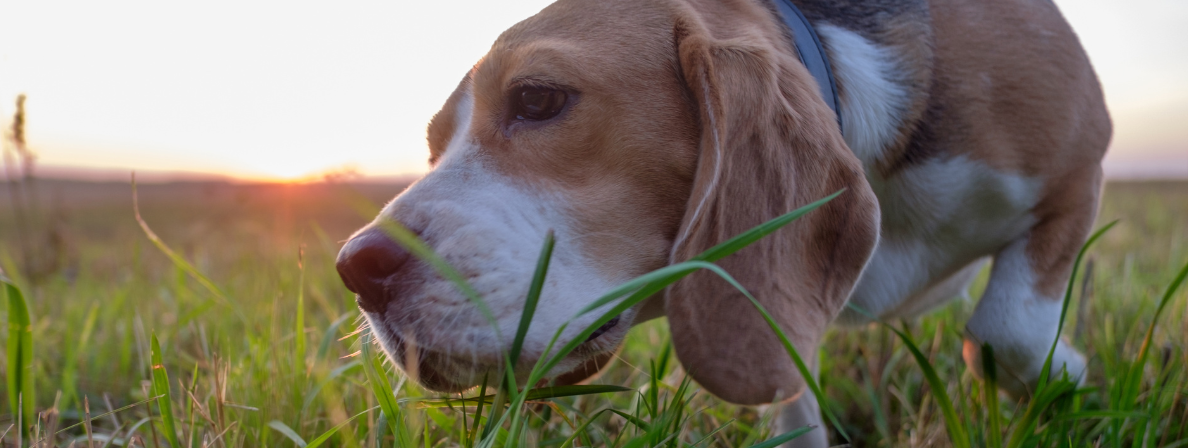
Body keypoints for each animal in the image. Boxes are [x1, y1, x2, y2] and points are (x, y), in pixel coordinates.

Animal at [336, 0, 1104, 441]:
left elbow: (1005, 331)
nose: (356, 269)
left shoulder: (1080, 166)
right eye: (435, 145)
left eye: (538, 98)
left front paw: (1065, 375)